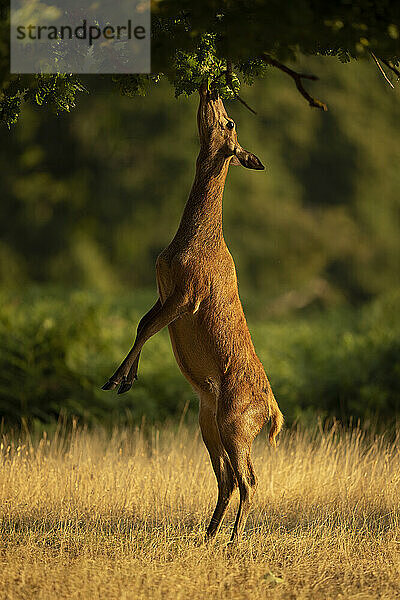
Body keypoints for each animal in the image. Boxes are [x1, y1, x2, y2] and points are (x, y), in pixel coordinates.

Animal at [103, 85, 284, 544]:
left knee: (248, 479)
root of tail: (273, 415)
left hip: (236, 421)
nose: (213, 87)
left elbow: (146, 328)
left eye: (230, 122)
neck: (186, 245)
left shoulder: (188, 294)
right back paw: (209, 535)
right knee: (227, 479)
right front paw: (127, 379)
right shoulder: (164, 288)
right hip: (209, 419)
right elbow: (141, 324)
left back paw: (234, 539)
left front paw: (116, 380)